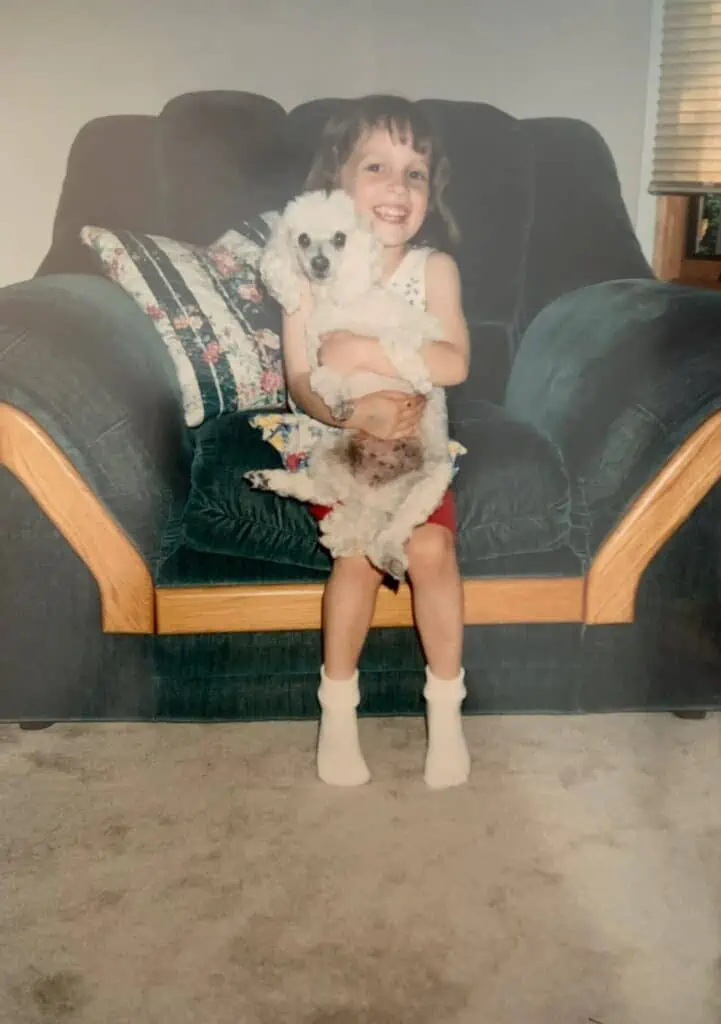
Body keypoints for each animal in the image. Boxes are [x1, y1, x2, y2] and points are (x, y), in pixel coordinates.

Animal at [244, 188, 452, 581]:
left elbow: (395, 339)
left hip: (433, 480)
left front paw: (417, 375)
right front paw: (338, 399)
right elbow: (322, 378)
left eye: (340, 239)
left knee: (392, 528)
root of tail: (370, 497)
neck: (340, 303)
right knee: (320, 492)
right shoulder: (319, 358)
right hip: (328, 456)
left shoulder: (421, 332)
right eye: (303, 239)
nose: (320, 263)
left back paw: (387, 553)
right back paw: (272, 480)